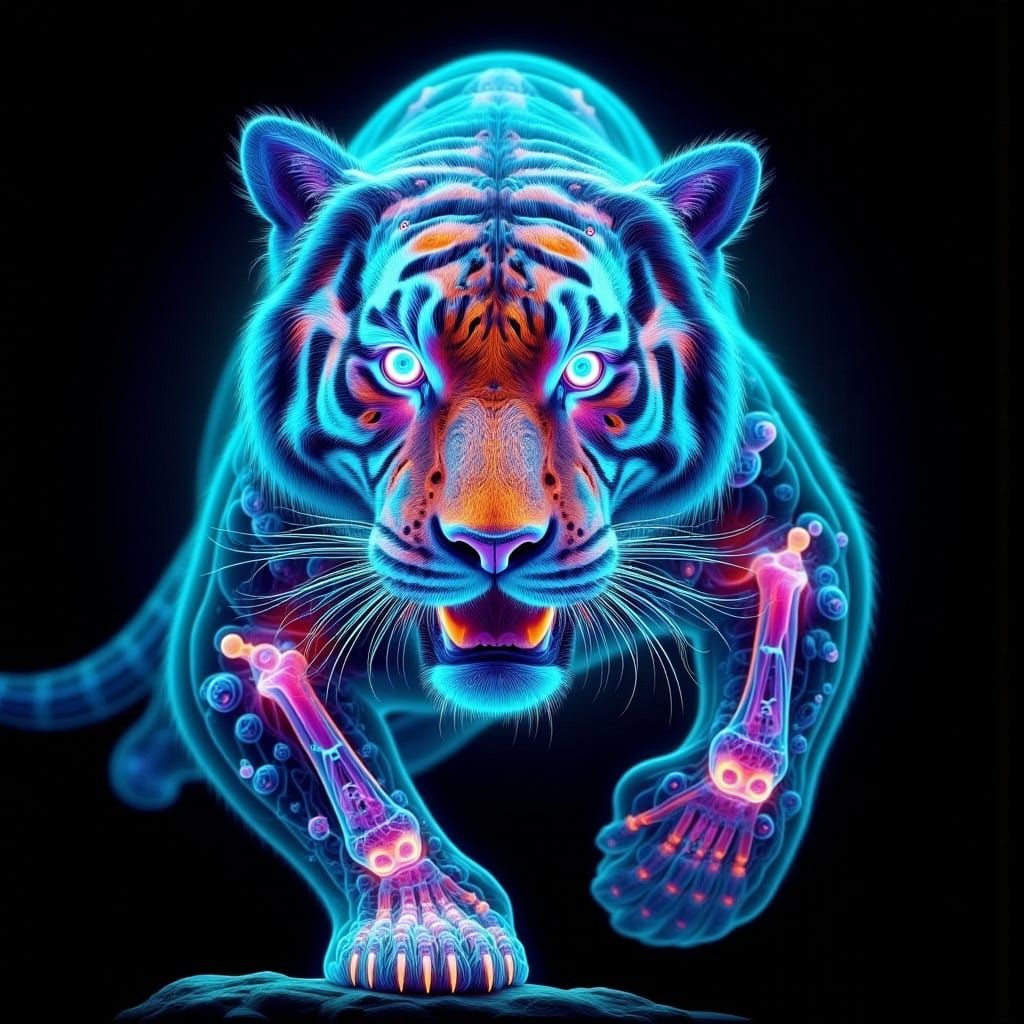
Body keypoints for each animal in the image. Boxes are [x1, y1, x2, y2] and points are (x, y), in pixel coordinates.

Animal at [0, 53, 872, 995]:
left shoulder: (790, 522)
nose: (494, 544)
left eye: (586, 370)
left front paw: (685, 865)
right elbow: (307, 756)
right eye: (400, 366)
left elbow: (791, 653)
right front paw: (425, 929)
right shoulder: (246, 622)